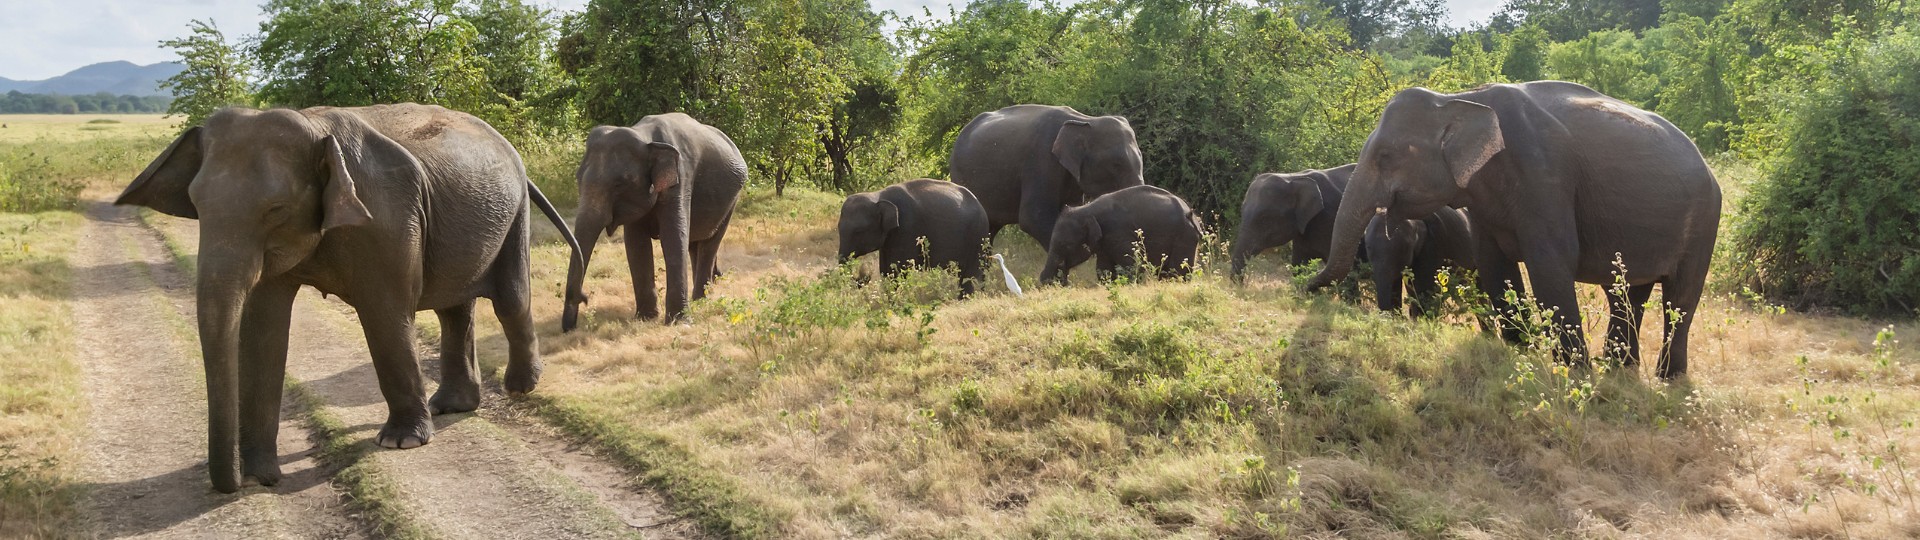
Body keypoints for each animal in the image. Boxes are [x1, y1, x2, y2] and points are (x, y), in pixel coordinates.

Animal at [114, 104, 583, 493]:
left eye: (276, 210)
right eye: (195, 204)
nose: (248, 482)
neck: (314, 128)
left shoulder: (387, 219)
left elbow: (384, 314)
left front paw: (401, 443)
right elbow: (263, 330)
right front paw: (258, 472)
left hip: (514, 213)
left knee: (510, 300)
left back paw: (519, 388)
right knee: (454, 309)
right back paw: (451, 406)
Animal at [562, 113, 746, 330]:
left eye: (619, 184)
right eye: (578, 178)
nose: (584, 298)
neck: (645, 137)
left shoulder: (680, 179)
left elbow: (673, 238)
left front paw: (679, 323)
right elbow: (636, 245)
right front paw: (645, 318)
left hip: (732, 200)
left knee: (710, 243)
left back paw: (701, 300)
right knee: (695, 244)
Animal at [836, 178, 991, 296]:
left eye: (858, 231)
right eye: (838, 229)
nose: (865, 273)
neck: (878, 195)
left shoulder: (907, 229)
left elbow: (897, 269)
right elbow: (885, 270)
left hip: (977, 236)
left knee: (973, 273)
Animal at [1040, 185, 1204, 285]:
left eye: (1066, 245)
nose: (1063, 282)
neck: (1087, 209)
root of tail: (1191, 214)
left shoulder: (1119, 234)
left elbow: (1131, 265)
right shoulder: (1104, 242)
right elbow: (1103, 269)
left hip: (1184, 237)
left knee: (1178, 271)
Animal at [1304, 81, 1722, 378]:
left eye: (1385, 157)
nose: (1306, 287)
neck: (1462, 99)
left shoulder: (1545, 176)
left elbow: (1551, 262)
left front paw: (1573, 371)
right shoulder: (1481, 197)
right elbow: (1494, 266)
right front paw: (1518, 351)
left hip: (1705, 220)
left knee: (1680, 298)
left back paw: (1667, 379)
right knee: (1626, 294)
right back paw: (1620, 371)